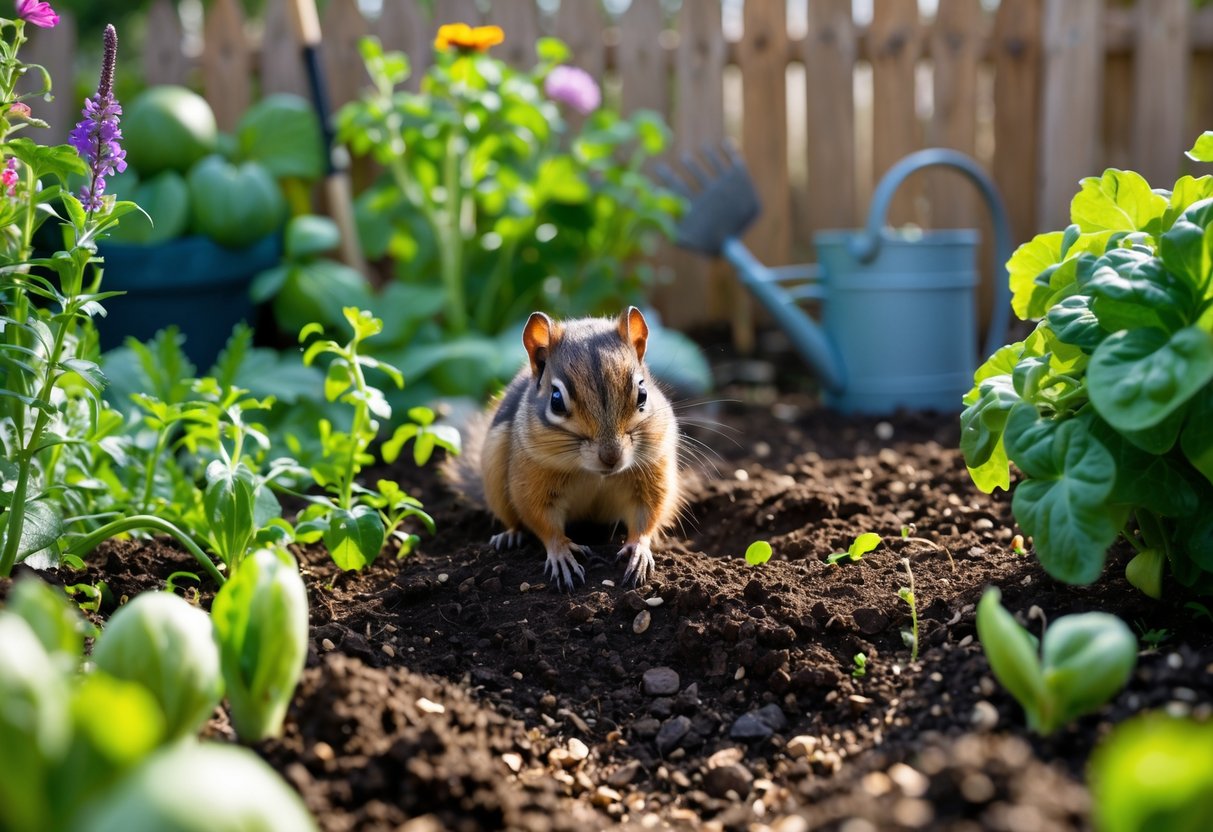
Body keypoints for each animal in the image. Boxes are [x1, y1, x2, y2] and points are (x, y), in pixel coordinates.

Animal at [444, 307, 682, 590]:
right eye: (556, 400)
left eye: (643, 394)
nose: (611, 457)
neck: (595, 474)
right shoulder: (531, 483)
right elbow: (542, 520)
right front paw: (562, 554)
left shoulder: (652, 473)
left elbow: (648, 513)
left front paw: (639, 550)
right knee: (513, 520)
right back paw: (509, 536)